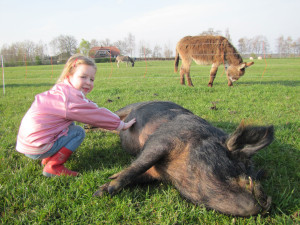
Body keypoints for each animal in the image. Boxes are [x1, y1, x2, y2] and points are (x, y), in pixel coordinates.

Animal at [94, 101, 274, 216]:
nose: (266, 201)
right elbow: (141, 163)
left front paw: (102, 190)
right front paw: (107, 188)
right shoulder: (162, 139)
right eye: (240, 165)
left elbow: (139, 175)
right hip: (126, 109)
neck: (173, 173)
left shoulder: (154, 173)